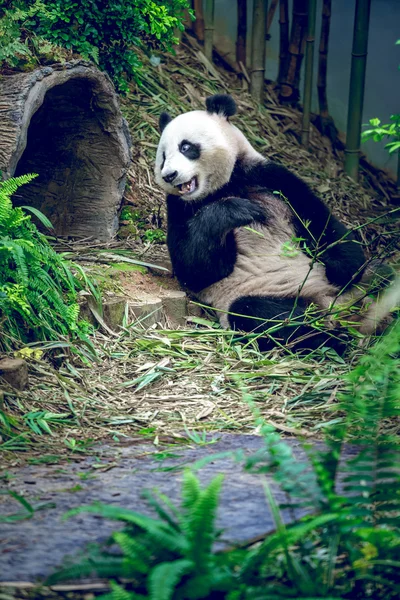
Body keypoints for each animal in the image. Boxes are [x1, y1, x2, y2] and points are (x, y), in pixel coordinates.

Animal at [155, 94, 390, 352]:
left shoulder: (268, 176)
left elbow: (321, 222)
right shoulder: (179, 207)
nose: (169, 175)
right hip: (257, 295)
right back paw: (330, 336)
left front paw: (341, 267)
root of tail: (336, 307)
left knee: (383, 276)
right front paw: (239, 210)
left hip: (360, 288)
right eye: (163, 157)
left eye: (186, 147)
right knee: (260, 314)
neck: (222, 186)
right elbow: (196, 269)